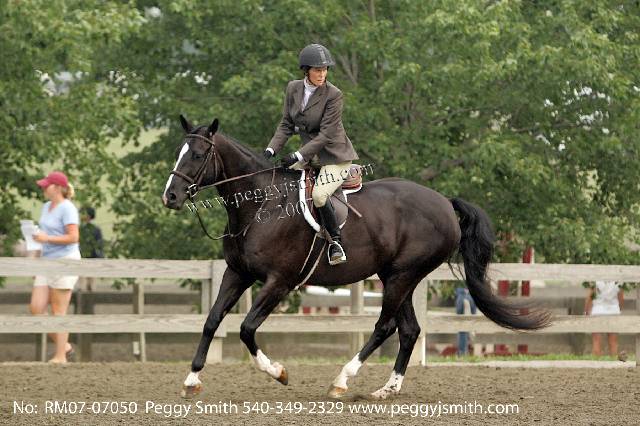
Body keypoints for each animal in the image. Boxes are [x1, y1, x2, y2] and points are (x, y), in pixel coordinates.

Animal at [162, 115, 551, 399]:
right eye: (179, 152)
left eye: (197, 155)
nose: (171, 197)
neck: (261, 205)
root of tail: (444, 202)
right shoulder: (238, 273)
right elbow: (212, 320)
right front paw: (191, 380)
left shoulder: (279, 282)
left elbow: (246, 328)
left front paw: (279, 373)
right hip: (395, 276)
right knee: (409, 330)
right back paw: (386, 390)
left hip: (402, 276)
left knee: (385, 327)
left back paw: (342, 380)